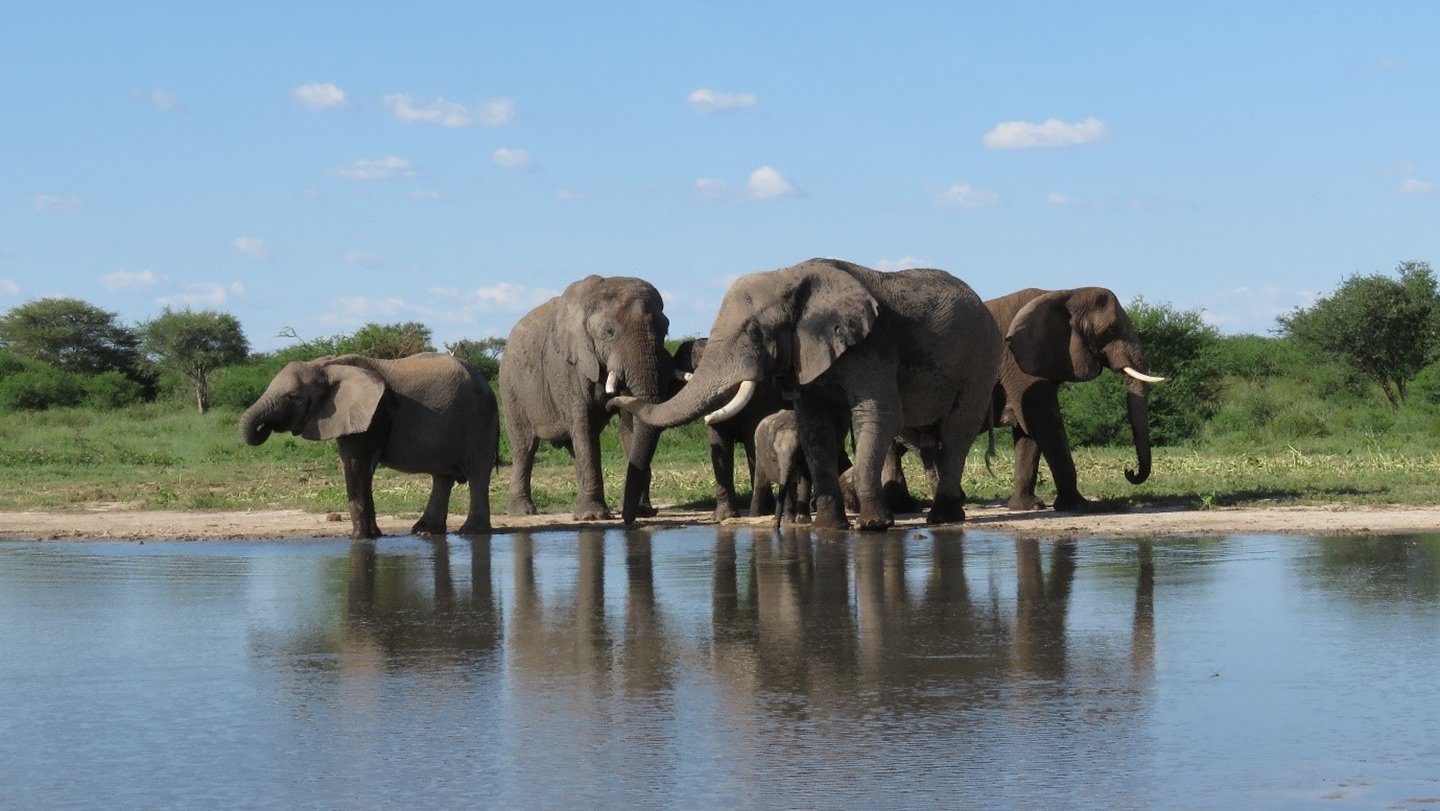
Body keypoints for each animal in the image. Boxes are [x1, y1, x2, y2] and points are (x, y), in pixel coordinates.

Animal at [240, 353, 499, 540]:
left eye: (293, 397)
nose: (267, 427)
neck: (329, 366)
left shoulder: (373, 414)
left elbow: (356, 464)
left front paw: (358, 538)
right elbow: (354, 464)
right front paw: (373, 535)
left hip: (479, 420)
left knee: (477, 474)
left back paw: (470, 533)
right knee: (442, 477)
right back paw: (425, 531)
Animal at [501, 275, 671, 524]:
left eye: (665, 330)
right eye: (609, 332)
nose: (627, 518)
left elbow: (630, 424)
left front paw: (641, 512)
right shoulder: (567, 366)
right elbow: (584, 424)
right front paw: (593, 516)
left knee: (574, 448)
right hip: (511, 387)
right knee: (525, 447)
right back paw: (523, 512)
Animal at [671, 338, 788, 521]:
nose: (706, 418)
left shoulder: (763, 394)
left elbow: (752, 441)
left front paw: (762, 512)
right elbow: (718, 442)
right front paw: (723, 517)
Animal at [986, 287, 1164, 511]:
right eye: (1110, 331)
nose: (1129, 471)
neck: (1064, 294)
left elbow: (1028, 432)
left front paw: (1029, 506)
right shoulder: (1020, 366)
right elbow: (1045, 423)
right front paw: (1077, 505)